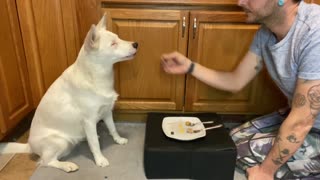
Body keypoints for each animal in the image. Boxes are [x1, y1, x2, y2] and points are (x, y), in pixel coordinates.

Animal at [0, 14, 137, 172]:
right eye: (113, 44)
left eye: (119, 38)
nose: (136, 44)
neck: (94, 76)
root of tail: (29, 146)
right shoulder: (89, 120)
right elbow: (95, 145)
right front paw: (100, 160)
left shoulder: (107, 111)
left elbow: (112, 128)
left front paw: (118, 140)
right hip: (61, 142)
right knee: (46, 162)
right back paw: (67, 165)